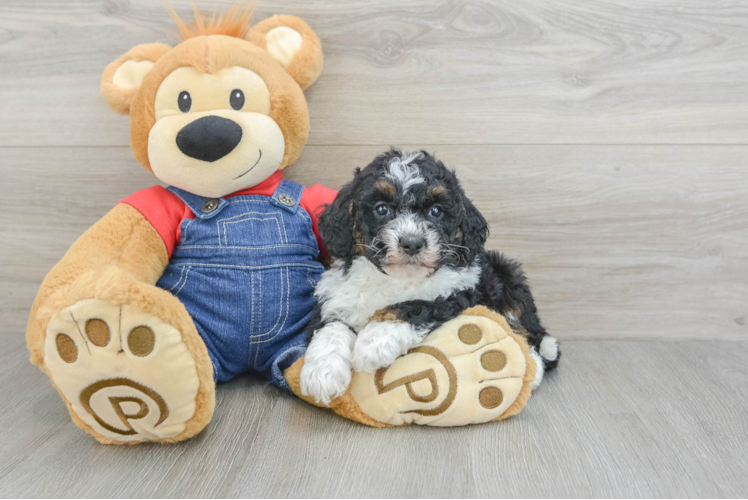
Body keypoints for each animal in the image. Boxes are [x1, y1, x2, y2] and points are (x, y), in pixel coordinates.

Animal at [300, 148, 560, 402]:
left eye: (436, 211)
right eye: (381, 209)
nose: (412, 243)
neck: (397, 278)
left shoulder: (458, 292)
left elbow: (414, 305)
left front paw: (374, 340)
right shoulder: (337, 293)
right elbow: (331, 324)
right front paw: (322, 373)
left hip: (508, 279)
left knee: (526, 336)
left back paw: (532, 371)